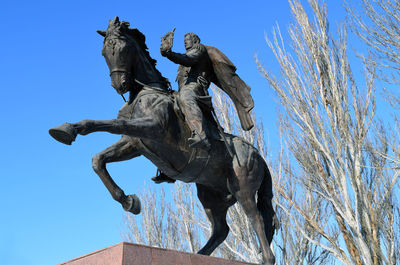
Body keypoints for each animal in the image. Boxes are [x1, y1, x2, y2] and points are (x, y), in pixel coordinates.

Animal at [48, 17, 276, 264]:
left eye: (122, 48)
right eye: (103, 52)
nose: (119, 85)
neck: (147, 92)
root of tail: (258, 156)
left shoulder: (151, 128)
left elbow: (106, 124)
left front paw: (69, 129)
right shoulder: (134, 143)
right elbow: (98, 160)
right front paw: (129, 201)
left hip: (243, 190)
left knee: (256, 219)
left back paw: (265, 258)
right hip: (210, 195)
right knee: (221, 229)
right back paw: (196, 255)